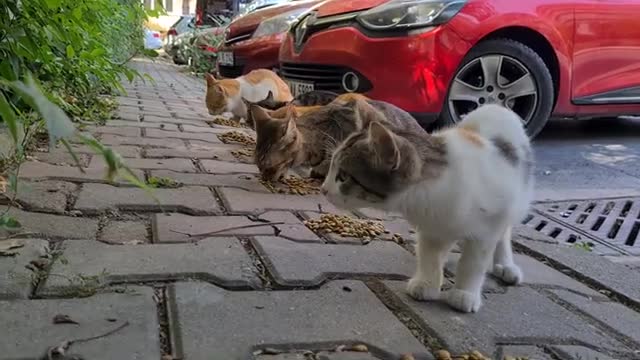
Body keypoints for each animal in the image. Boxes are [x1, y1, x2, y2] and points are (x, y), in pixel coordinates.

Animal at [320, 104, 536, 312]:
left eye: (343, 176)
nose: (323, 189)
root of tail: (495, 107)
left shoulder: (486, 229)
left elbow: (473, 262)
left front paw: (465, 293)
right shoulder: (431, 227)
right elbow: (429, 255)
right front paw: (428, 283)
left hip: (514, 203)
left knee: (504, 232)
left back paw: (505, 265)